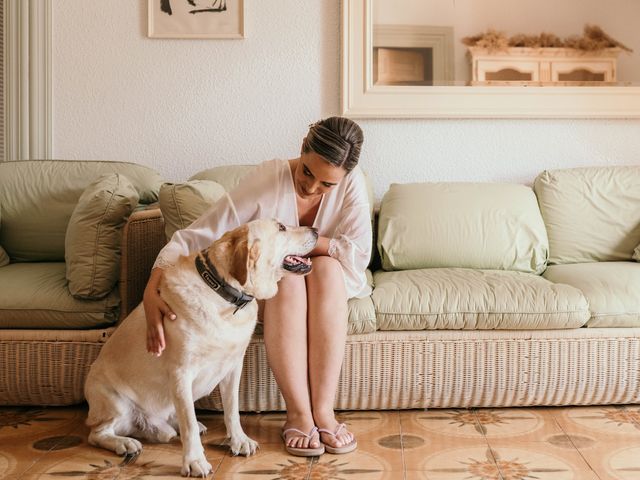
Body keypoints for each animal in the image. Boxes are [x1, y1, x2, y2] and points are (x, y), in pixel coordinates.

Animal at [85, 220, 318, 476]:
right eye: (281, 227)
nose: (316, 230)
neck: (224, 296)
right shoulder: (181, 372)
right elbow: (188, 422)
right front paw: (194, 460)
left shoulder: (233, 367)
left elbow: (232, 410)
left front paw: (239, 440)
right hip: (114, 402)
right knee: (97, 433)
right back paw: (124, 443)